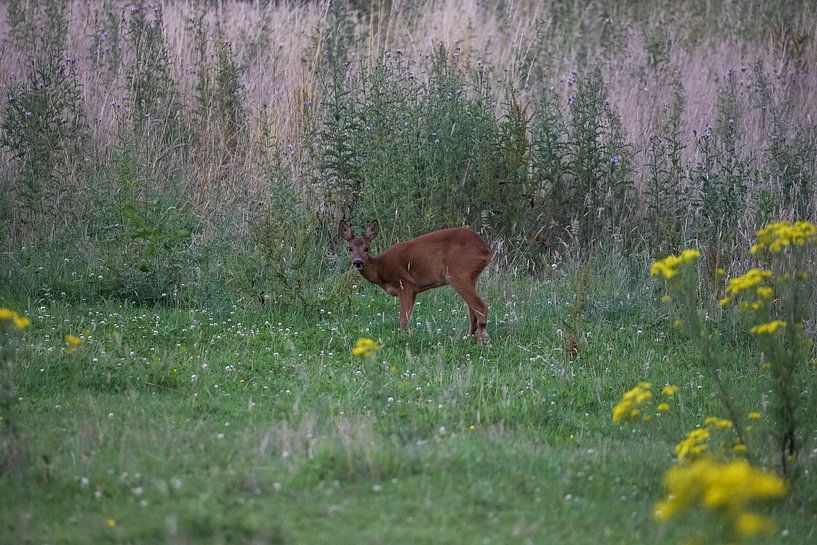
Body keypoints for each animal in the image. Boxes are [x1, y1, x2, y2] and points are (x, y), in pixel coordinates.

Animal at [339, 220, 491, 345]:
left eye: (367, 248)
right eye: (349, 248)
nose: (358, 262)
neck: (380, 269)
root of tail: (486, 250)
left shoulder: (405, 283)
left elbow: (403, 319)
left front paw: (403, 339)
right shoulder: (413, 291)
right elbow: (406, 317)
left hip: (459, 274)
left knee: (480, 307)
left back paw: (479, 344)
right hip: (470, 277)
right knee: (472, 311)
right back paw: (468, 339)